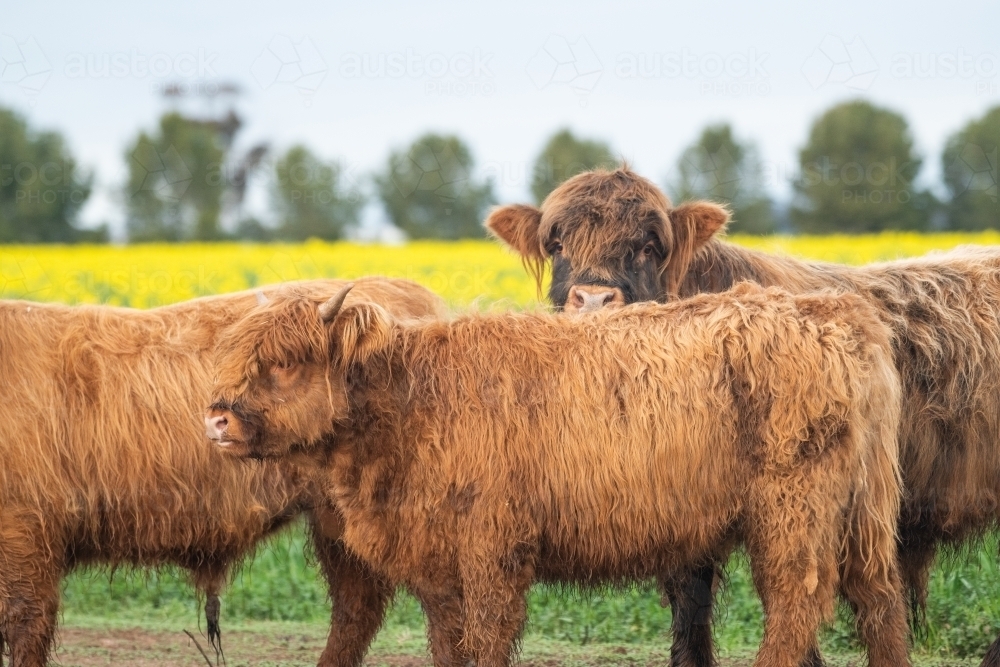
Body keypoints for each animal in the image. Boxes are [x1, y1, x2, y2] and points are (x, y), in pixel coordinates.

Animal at [205, 282, 910, 667]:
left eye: (286, 362)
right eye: (239, 354)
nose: (216, 418)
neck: (409, 405)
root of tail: (833, 312)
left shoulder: (493, 546)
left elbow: (489, 634)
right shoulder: (434, 559)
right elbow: (447, 639)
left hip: (794, 509)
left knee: (797, 600)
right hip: (867, 510)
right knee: (880, 598)